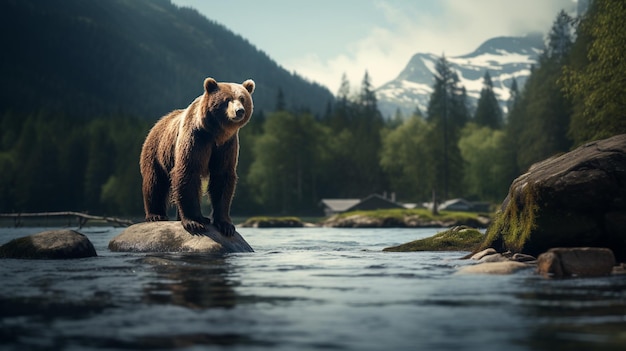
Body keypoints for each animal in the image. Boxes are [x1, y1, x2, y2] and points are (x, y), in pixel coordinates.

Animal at [139, 77, 254, 236]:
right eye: (227, 99)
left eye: (242, 99)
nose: (239, 111)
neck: (215, 132)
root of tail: (159, 122)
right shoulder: (196, 138)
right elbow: (188, 171)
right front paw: (194, 222)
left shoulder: (227, 145)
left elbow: (222, 177)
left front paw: (226, 225)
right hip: (157, 152)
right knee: (155, 182)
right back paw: (156, 215)